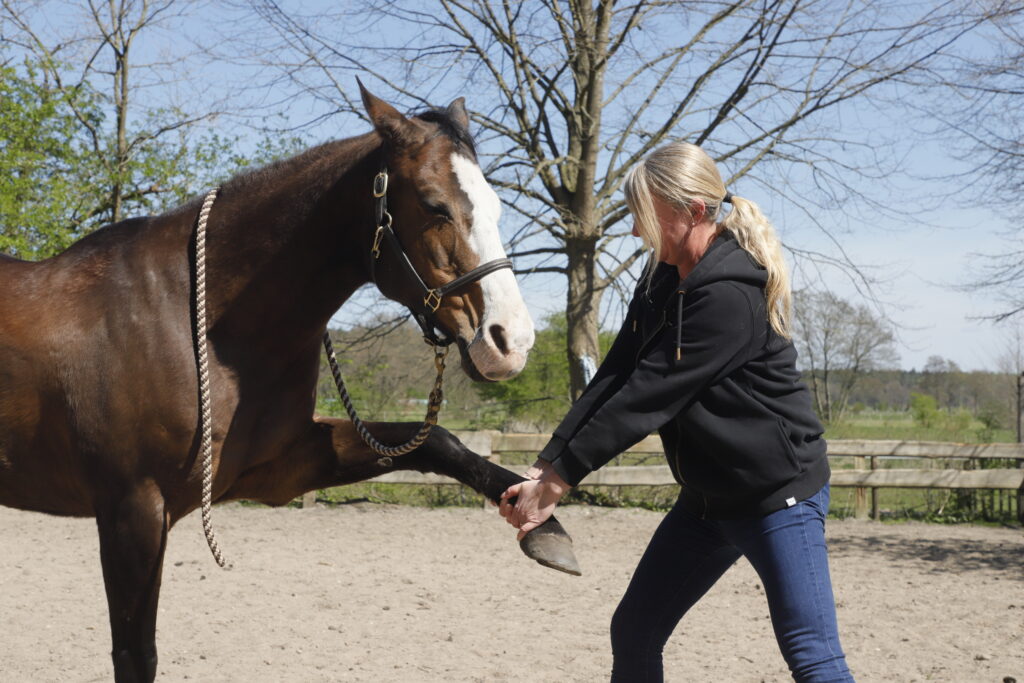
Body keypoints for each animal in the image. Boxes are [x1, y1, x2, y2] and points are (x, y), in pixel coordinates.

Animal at [0, 83, 579, 682]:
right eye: (433, 204)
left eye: (495, 207)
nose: (511, 341)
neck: (194, 322)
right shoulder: (130, 509)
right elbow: (136, 655)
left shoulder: (274, 469)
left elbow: (438, 442)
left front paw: (545, 526)